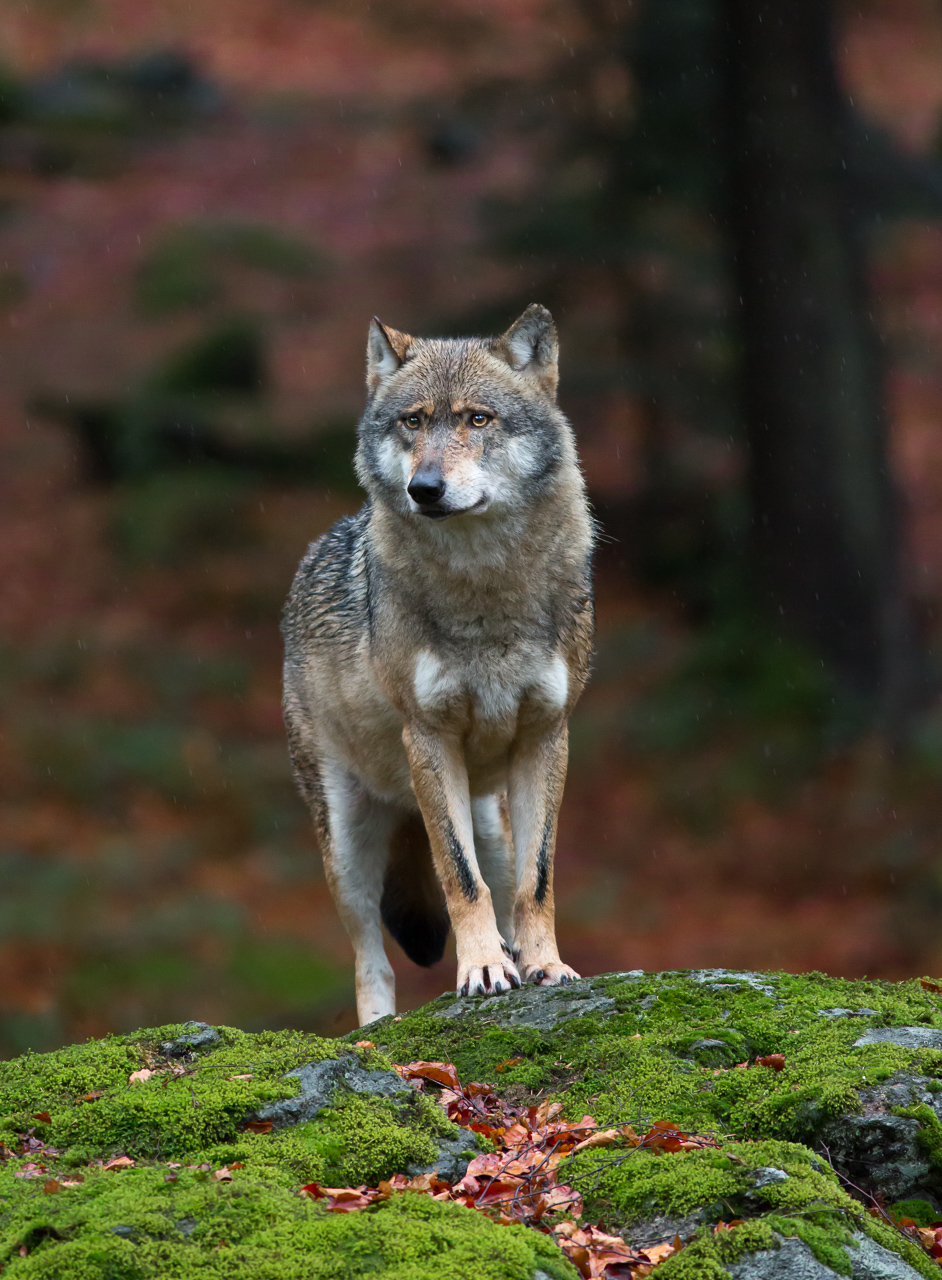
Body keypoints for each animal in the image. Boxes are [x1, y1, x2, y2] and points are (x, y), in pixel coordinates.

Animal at [282, 304, 594, 1026]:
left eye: (478, 419)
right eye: (414, 421)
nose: (423, 488)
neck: (485, 594)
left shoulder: (548, 734)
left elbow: (538, 882)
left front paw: (545, 967)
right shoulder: (428, 735)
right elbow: (457, 875)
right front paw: (479, 970)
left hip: (492, 821)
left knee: (505, 888)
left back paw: (515, 958)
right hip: (348, 845)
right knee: (370, 958)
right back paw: (377, 1029)